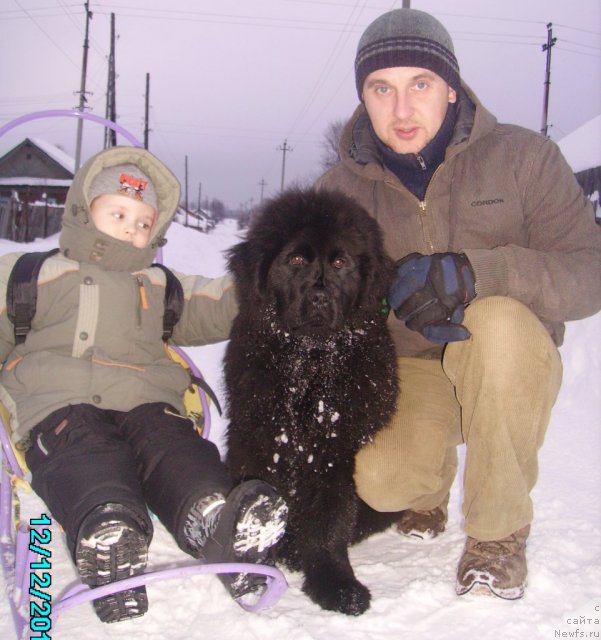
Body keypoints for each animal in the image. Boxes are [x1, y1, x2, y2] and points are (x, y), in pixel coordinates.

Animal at [223, 189, 400, 616]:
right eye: (296, 260)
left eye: (340, 262)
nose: (319, 298)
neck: (309, 363)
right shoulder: (259, 437)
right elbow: (261, 501)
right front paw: (253, 567)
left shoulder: (332, 450)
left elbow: (329, 521)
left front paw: (336, 584)